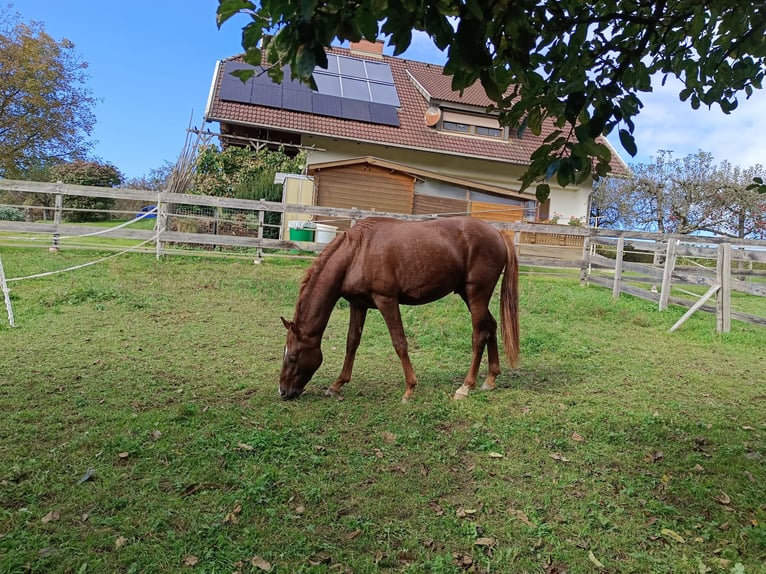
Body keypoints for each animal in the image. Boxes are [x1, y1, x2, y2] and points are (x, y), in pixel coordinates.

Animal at [279, 216, 519, 402]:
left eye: (293, 355)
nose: (283, 391)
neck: (357, 253)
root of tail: (498, 233)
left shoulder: (387, 301)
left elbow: (399, 342)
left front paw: (410, 388)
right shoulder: (358, 304)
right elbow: (352, 342)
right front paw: (337, 384)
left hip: (476, 294)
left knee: (479, 336)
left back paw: (465, 387)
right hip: (468, 295)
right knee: (491, 327)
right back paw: (490, 378)